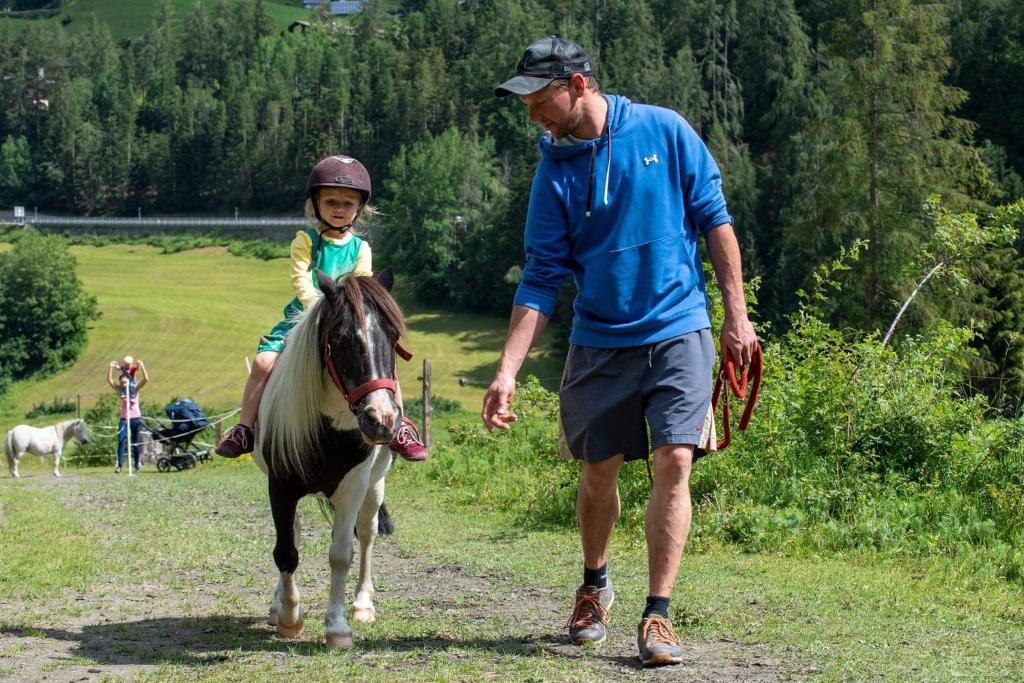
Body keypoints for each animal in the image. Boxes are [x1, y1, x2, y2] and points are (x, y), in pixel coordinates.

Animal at [252, 268, 410, 649]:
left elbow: (342, 555)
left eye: (393, 335)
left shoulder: (352, 488)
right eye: (341, 338)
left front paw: (338, 628)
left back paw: (363, 605)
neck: (329, 427)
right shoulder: (280, 486)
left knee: (366, 534)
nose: (381, 419)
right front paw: (290, 617)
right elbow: (286, 551)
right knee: (292, 535)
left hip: (375, 486)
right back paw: (278, 607)